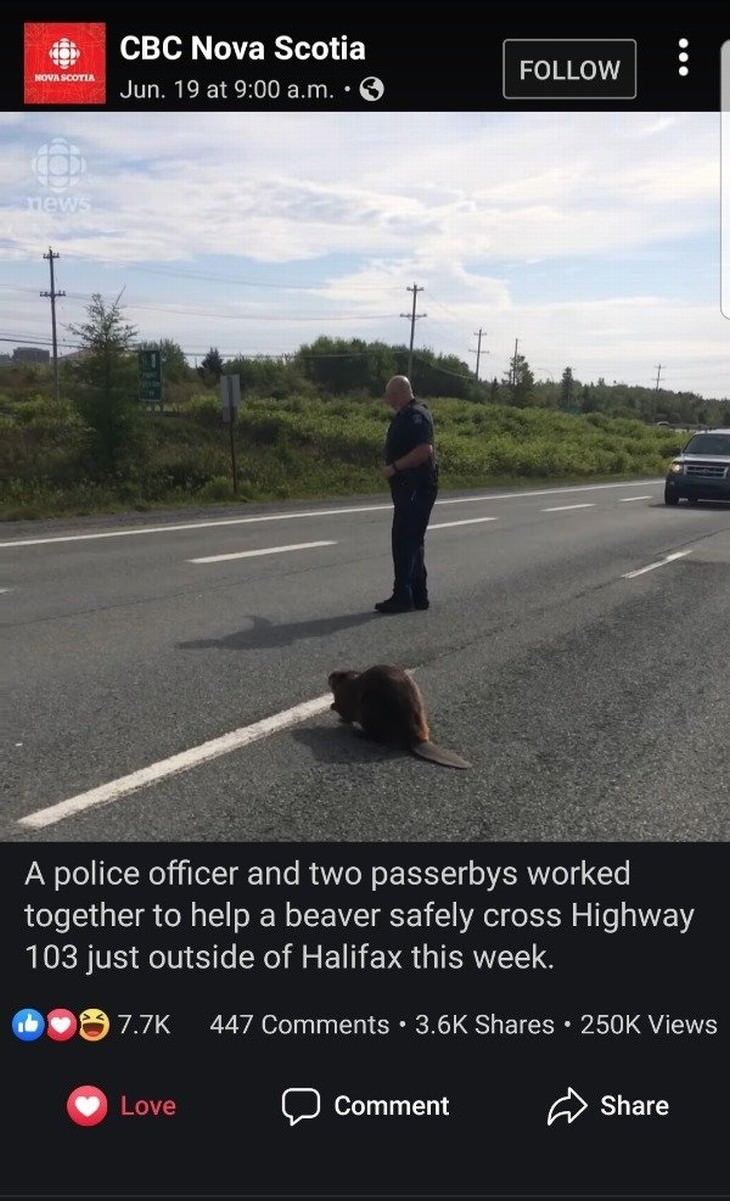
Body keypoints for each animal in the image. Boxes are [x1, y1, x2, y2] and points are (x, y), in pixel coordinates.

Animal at [328, 667, 470, 768]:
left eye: (335, 675)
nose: (329, 675)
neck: (351, 681)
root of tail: (418, 741)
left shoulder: (344, 698)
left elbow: (344, 712)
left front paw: (333, 707)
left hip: (370, 708)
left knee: (377, 737)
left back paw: (358, 733)